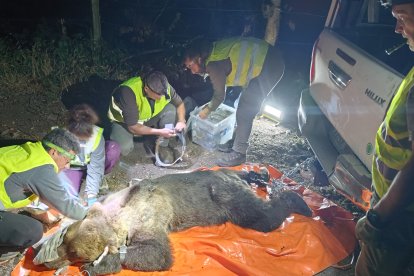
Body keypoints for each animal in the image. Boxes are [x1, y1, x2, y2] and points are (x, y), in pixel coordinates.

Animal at [39, 168, 310, 274]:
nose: (47, 263)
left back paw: (299, 201)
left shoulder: (148, 217)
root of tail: (229, 173)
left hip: (228, 196)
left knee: (261, 217)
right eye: (65, 242)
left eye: (75, 254)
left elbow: (159, 253)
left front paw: (102, 264)